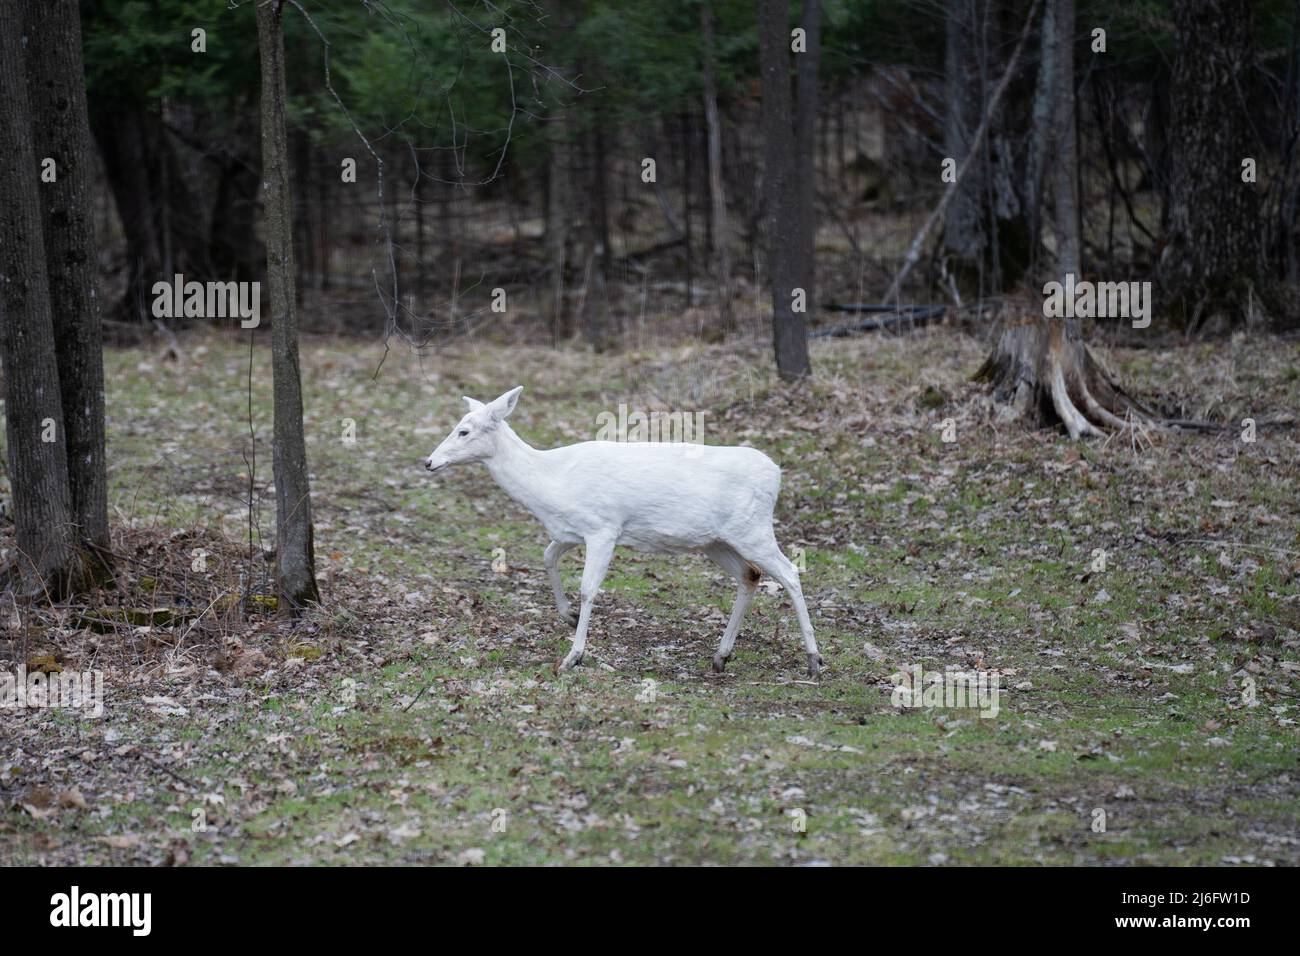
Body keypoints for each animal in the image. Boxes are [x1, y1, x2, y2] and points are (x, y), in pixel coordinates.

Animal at [422, 387, 822, 678]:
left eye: (464, 430)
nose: (428, 461)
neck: (550, 481)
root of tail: (776, 474)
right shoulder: (570, 531)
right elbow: (547, 557)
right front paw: (566, 616)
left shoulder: (603, 528)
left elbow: (588, 589)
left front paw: (573, 656)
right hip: (716, 541)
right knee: (750, 575)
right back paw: (721, 656)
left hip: (753, 528)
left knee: (789, 572)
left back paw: (814, 660)